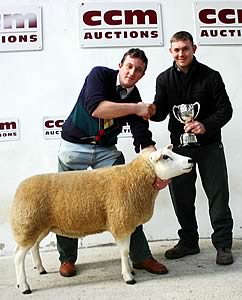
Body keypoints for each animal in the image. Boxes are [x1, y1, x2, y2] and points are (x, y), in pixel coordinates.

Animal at [10, 144, 194, 294]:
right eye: (166, 157)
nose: (190, 160)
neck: (134, 178)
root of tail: (19, 188)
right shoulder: (120, 222)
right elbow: (124, 251)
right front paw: (128, 277)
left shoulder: (126, 223)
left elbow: (127, 250)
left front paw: (130, 270)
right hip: (27, 224)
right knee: (18, 256)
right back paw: (24, 286)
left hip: (38, 226)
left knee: (34, 246)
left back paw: (40, 269)